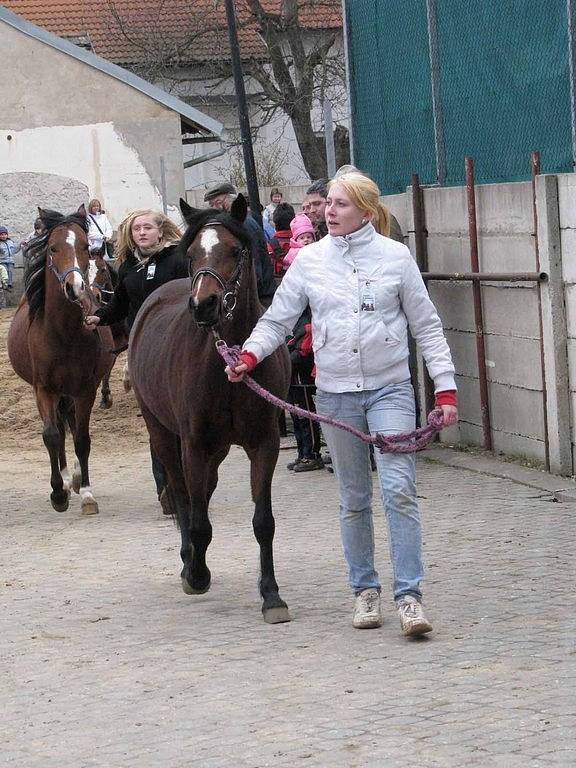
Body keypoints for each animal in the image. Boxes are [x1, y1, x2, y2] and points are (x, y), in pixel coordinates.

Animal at [7, 204, 113, 516]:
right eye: (53, 248)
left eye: (84, 246)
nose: (75, 287)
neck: (62, 333)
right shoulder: (43, 388)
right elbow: (52, 436)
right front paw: (57, 493)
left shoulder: (85, 389)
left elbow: (82, 438)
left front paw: (87, 493)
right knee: (59, 428)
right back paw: (66, 480)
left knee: (72, 424)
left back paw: (76, 479)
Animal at [130, 196, 292, 624]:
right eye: (191, 255)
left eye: (234, 251)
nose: (203, 305)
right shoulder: (194, 444)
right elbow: (198, 518)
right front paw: (196, 574)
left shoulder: (264, 443)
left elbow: (263, 521)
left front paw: (272, 595)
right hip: (163, 433)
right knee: (182, 495)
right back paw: (189, 561)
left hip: (216, 450)